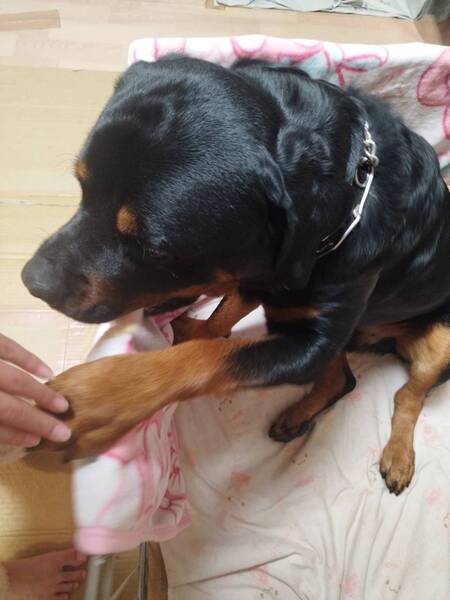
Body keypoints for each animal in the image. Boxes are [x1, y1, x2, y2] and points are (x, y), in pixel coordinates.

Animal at [22, 55, 450, 494]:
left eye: (153, 249)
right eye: (82, 189)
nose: (33, 281)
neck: (348, 199)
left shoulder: (313, 342)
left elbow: (211, 357)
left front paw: (100, 400)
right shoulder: (264, 269)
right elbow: (225, 314)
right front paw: (198, 326)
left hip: (440, 340)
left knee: (408, 395)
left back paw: (397, 456)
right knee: (342, 379)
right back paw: (296, 414)